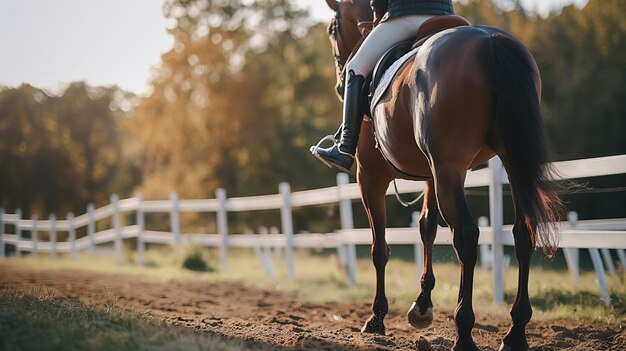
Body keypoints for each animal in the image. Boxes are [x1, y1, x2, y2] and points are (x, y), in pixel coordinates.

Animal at [322, 0, 560, 351]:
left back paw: (464, 333)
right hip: (509, 163)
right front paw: (421, 306)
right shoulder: (431, 175)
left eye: (332, 29)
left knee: (466, 236)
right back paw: (515, 332)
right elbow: (427, 228)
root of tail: (489, 41)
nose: (340, 85)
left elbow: (380, 249)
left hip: (449, 169)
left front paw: (376, 318)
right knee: (523, 233)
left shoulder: (371, 178)